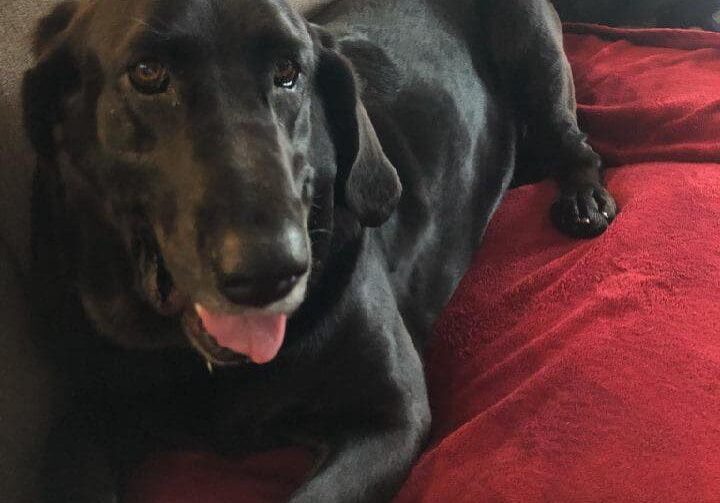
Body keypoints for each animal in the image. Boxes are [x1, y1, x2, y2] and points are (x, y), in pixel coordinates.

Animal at [21, 0, 632, 502]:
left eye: (288, 74)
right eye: (147, 73)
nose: (274, 271)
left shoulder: (392, 414)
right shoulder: (82, 422)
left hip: (532, 47)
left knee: (574, 141)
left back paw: (583, 198)